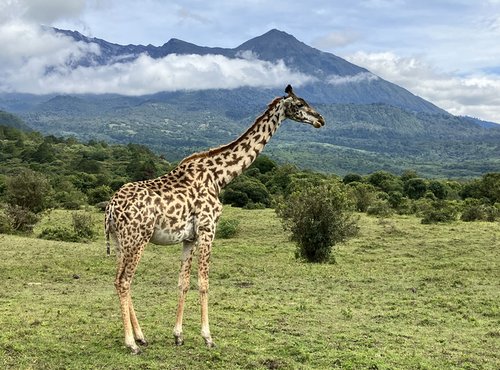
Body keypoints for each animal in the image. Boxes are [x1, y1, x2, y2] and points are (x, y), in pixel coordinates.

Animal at [104, 84, 324, 352]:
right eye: (300, 104)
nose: (320, 120)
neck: (220, 176)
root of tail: (110, 207)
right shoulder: (208, 228)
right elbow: (204, 282)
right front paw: (208, 336)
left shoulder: (189, 237)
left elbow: (183, 283)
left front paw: (178, 335)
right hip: (137, 238)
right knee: (123, 281)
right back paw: (131, 343)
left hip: (120, 241)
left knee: (120, 280)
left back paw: (141, 336)